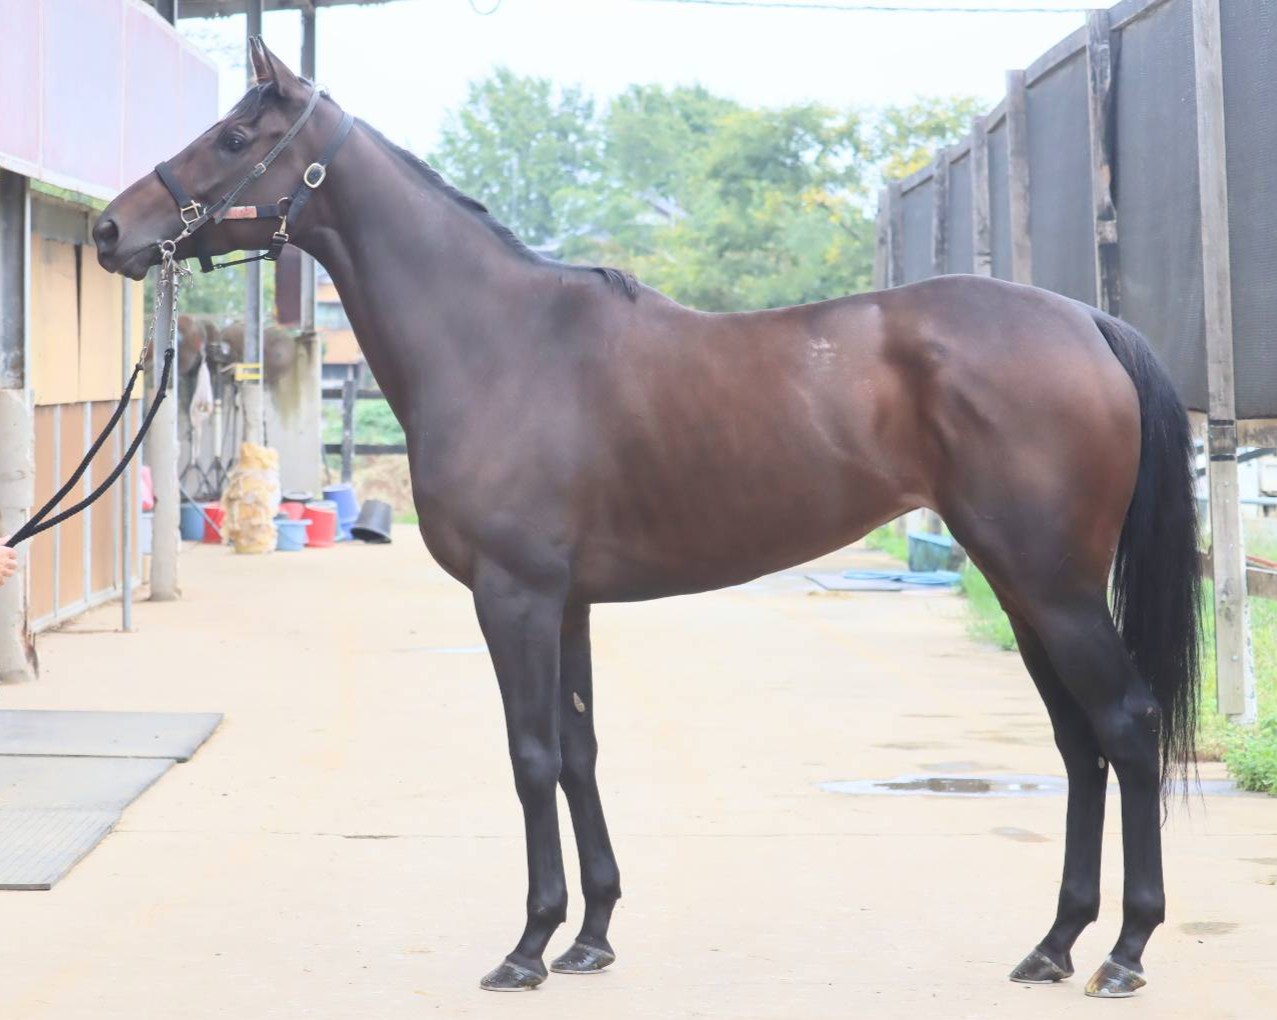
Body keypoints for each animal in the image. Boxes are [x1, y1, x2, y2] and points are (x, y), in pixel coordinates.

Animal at [93, 39, 1200, 999]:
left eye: (236, 136)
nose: (111, 230)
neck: (498, 342)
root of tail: (1086, 321)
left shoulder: (514, 597)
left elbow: (531, 755)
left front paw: (528, 946)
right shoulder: (567, 604)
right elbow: (580, 752)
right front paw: (589, 937)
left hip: (1052, 586)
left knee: (1125, 724)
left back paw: (1125, 952)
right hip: (1021, 587)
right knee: (1076, 742)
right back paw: (1053, 944)